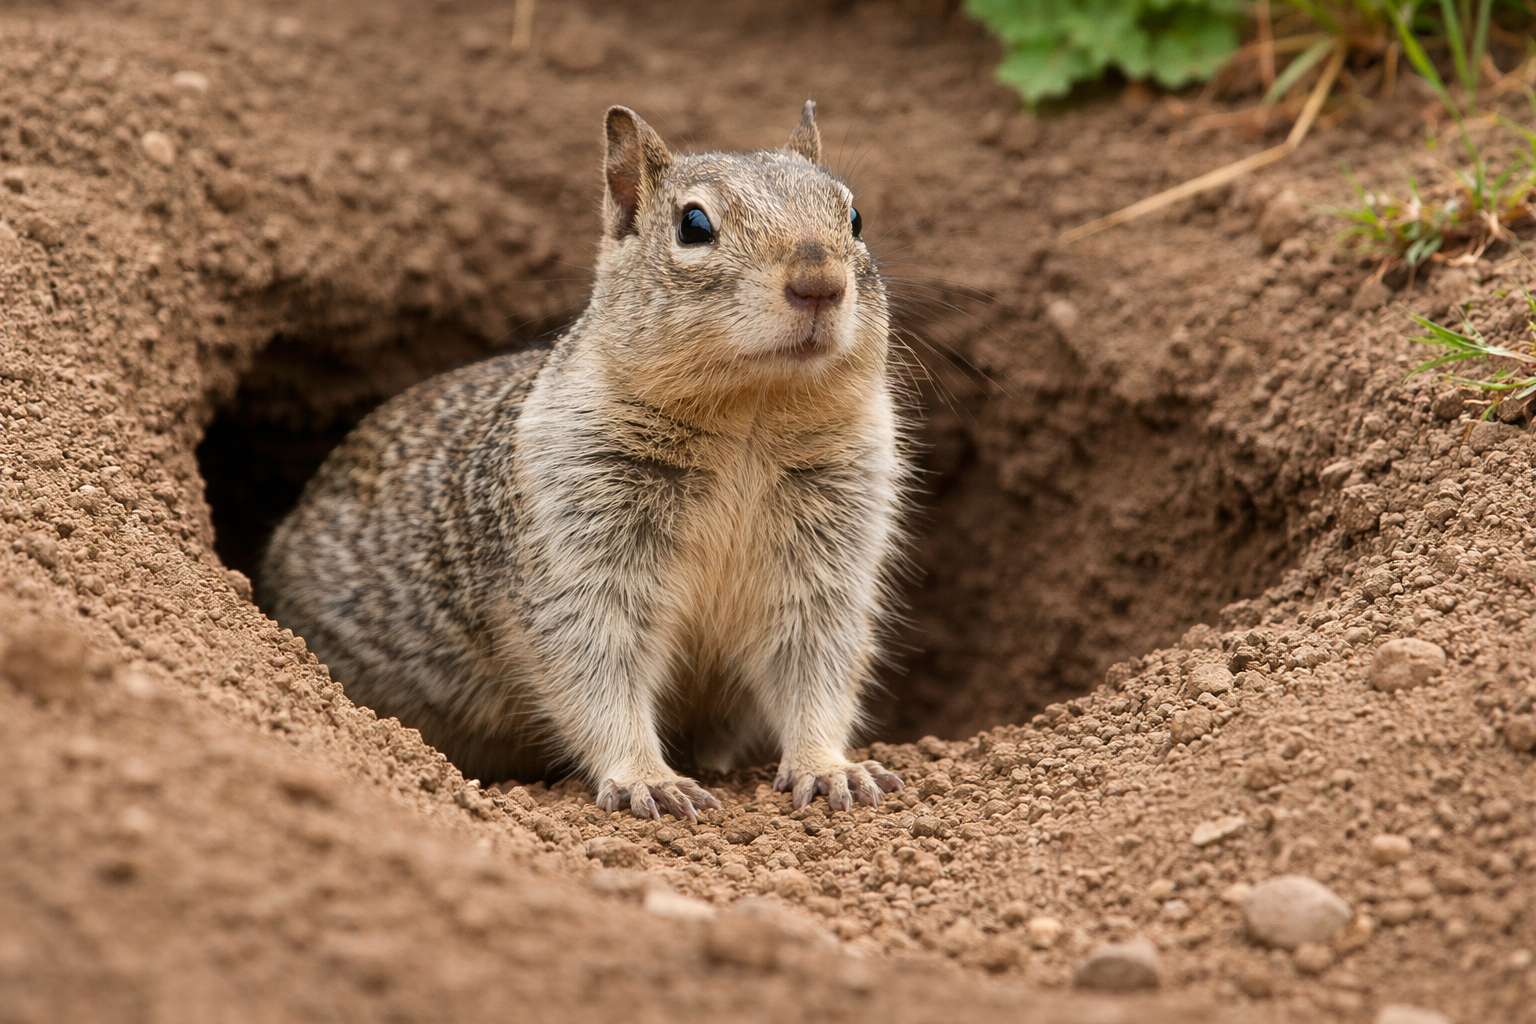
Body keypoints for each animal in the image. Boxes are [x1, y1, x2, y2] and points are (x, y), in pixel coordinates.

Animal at [260, 101, 908, 820]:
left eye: (855, 217)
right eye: (694, 225)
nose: (820, 283)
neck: (749, 422)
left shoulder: (831, 555)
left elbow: (817, 665)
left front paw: (830, 767)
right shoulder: (578, 552)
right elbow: (596, 670)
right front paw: (646, 778)